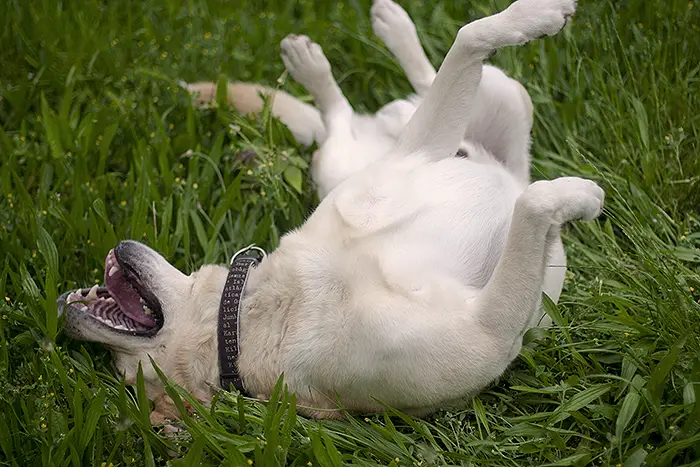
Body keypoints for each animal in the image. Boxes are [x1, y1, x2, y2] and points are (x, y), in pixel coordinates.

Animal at [58, 0, 600, 424]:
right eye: (123, 376)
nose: (64, 310)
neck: (265, 308)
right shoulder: (488, 330)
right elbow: (534, 204)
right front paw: (581, 195)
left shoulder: (420, 152)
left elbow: (469, 35)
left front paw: (533, 15)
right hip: (347, 158)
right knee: (357, 116)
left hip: (488, 105)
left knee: (431, 82)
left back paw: (377, 35)